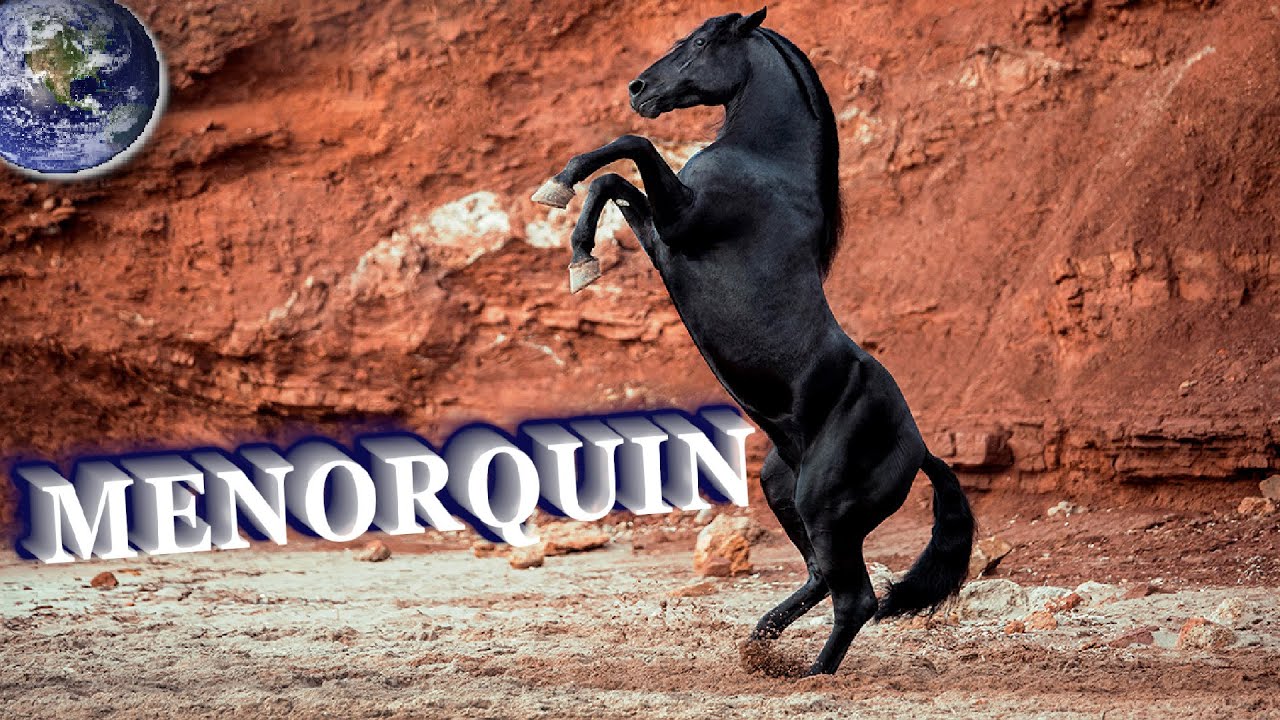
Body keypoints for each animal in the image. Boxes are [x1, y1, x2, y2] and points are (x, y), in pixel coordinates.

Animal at [531, 7, 976, 677]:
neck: (766, 164)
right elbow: (615, 183)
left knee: (857, 598)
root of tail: (920, 450)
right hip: (780, 488)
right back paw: (761, 640)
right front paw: (580, 252)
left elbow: (628, 152)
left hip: (824, 505)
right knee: (820, 576)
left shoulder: (681, 221)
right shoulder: (665, 235)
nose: (639, 89)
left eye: (700, 40)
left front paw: (561, 198)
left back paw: (810, 673)